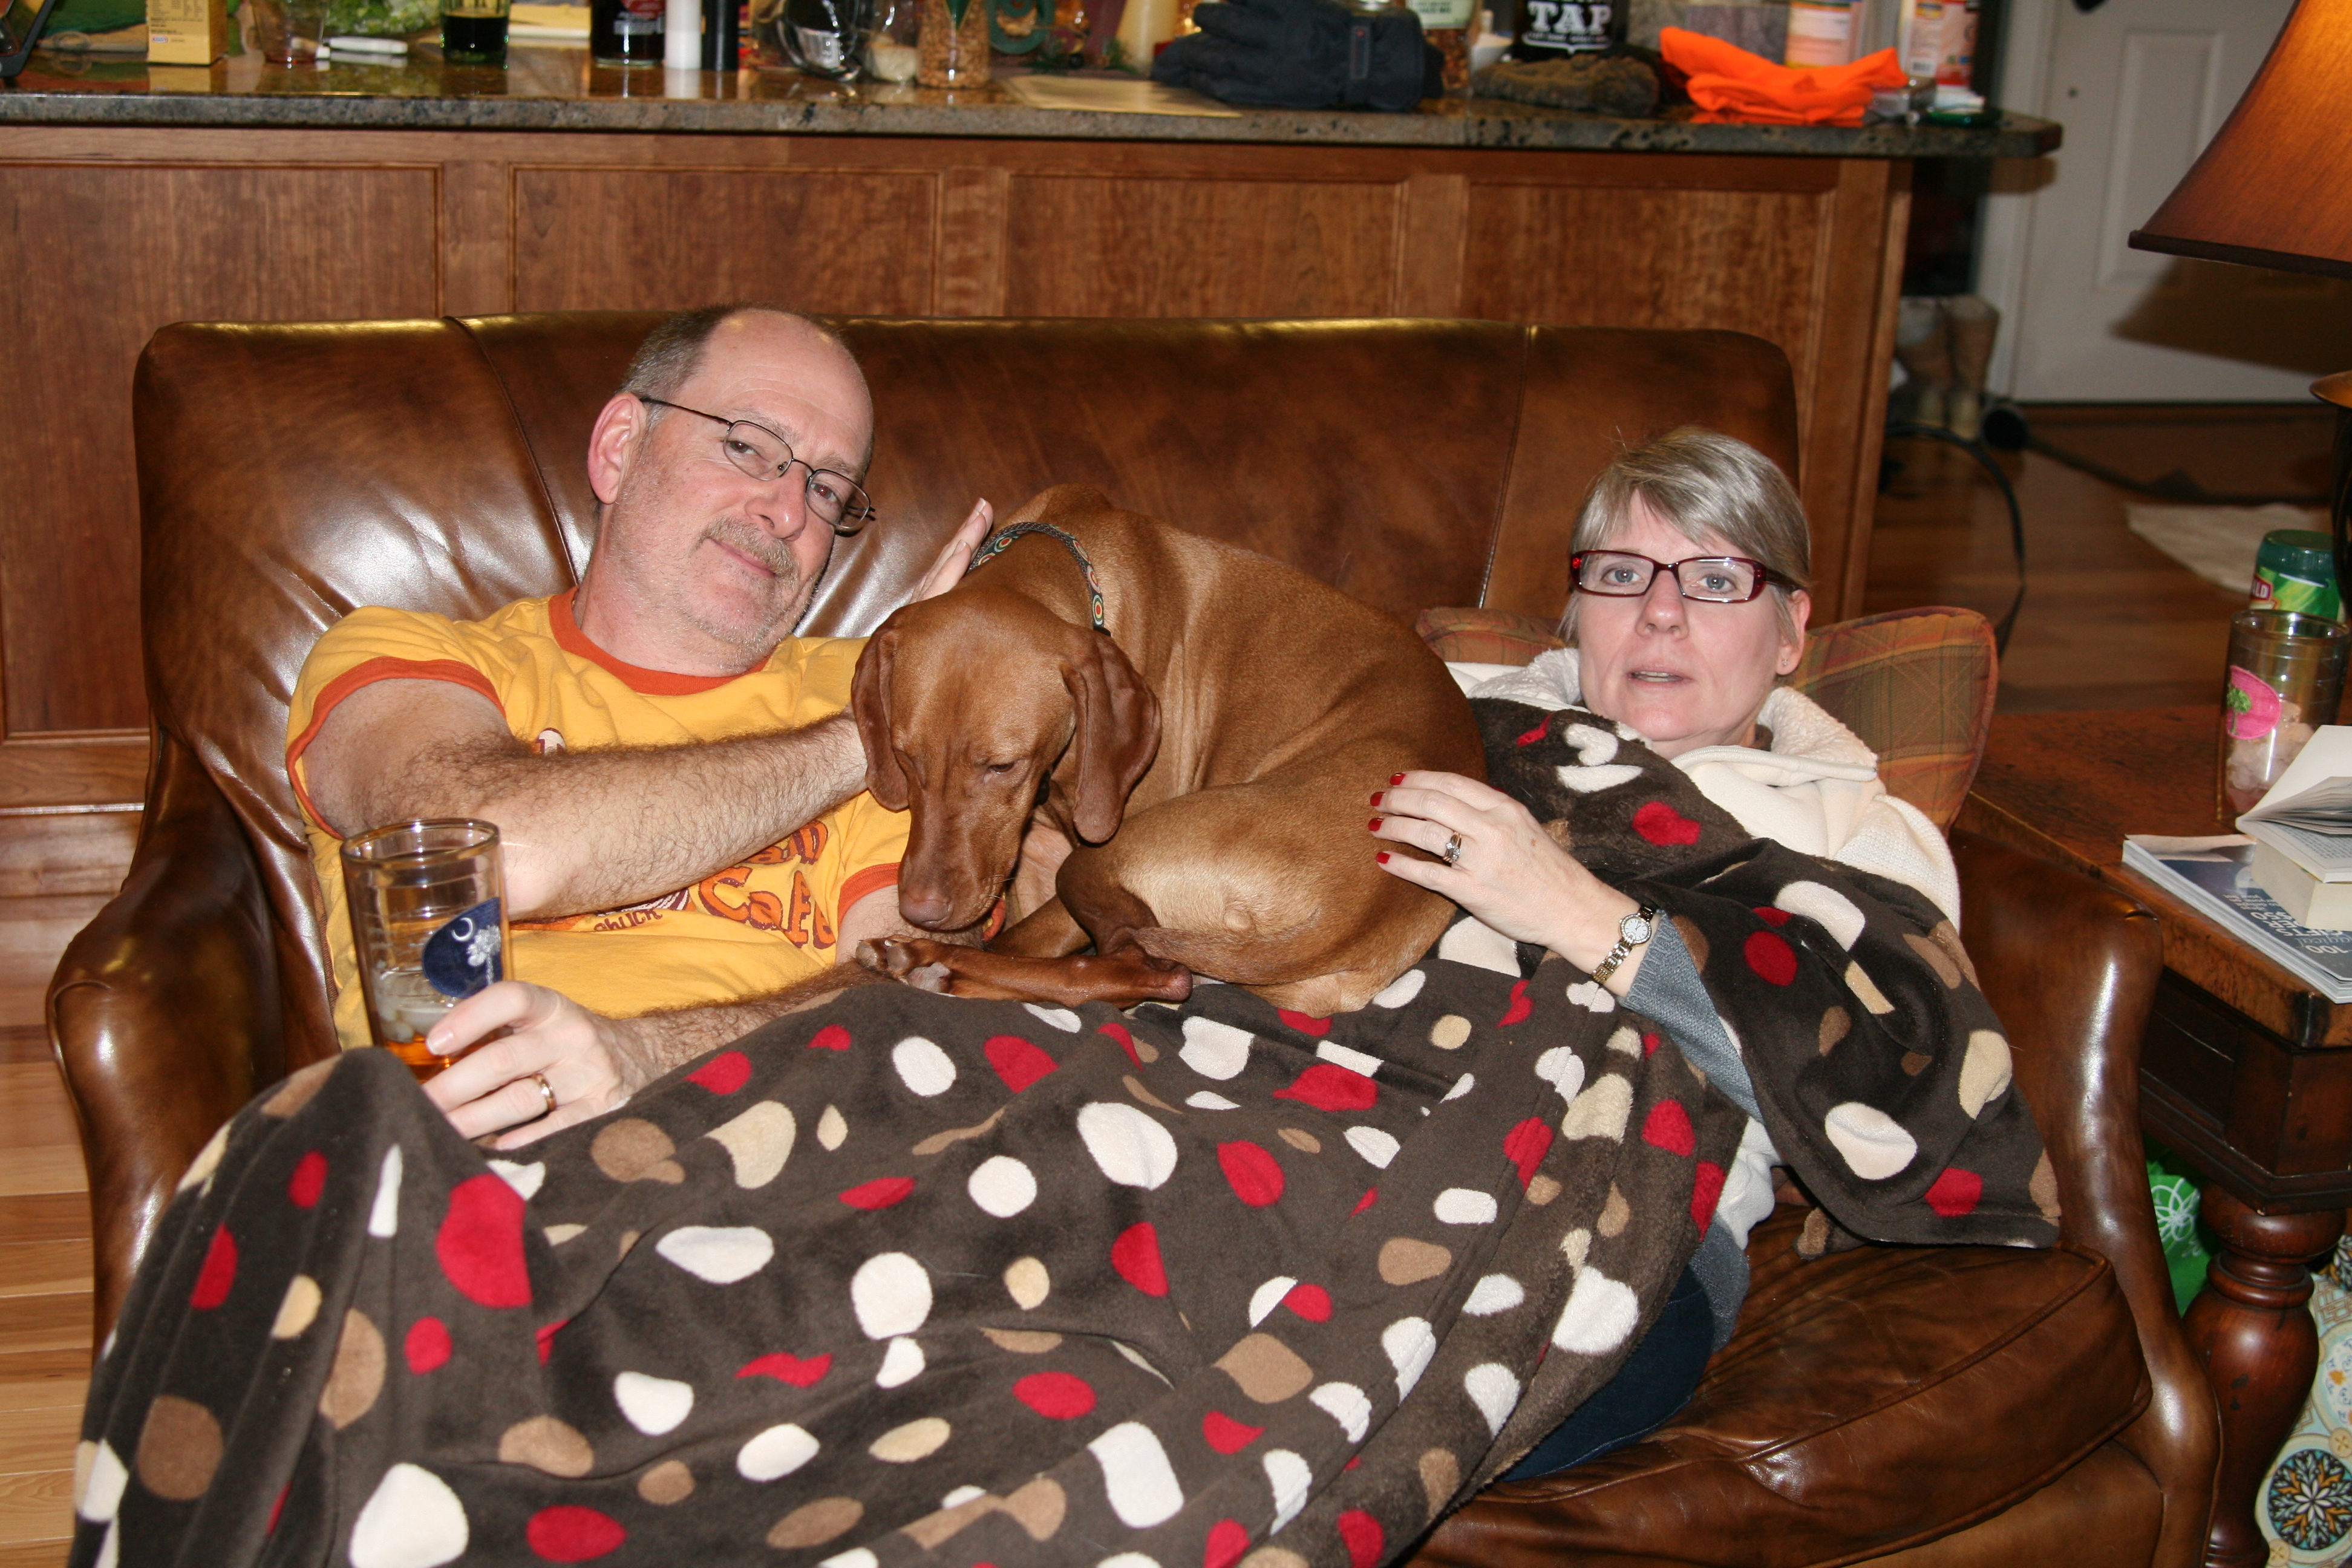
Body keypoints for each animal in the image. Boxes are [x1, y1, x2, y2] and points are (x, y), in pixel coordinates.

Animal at [849, 485, 1486, 1016]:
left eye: (1003, 766)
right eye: (905, 757)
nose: (920, 913)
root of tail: (1352, 908)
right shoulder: (1032, 857)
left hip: (1112, 857)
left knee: (1139, 970)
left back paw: (926, 962)